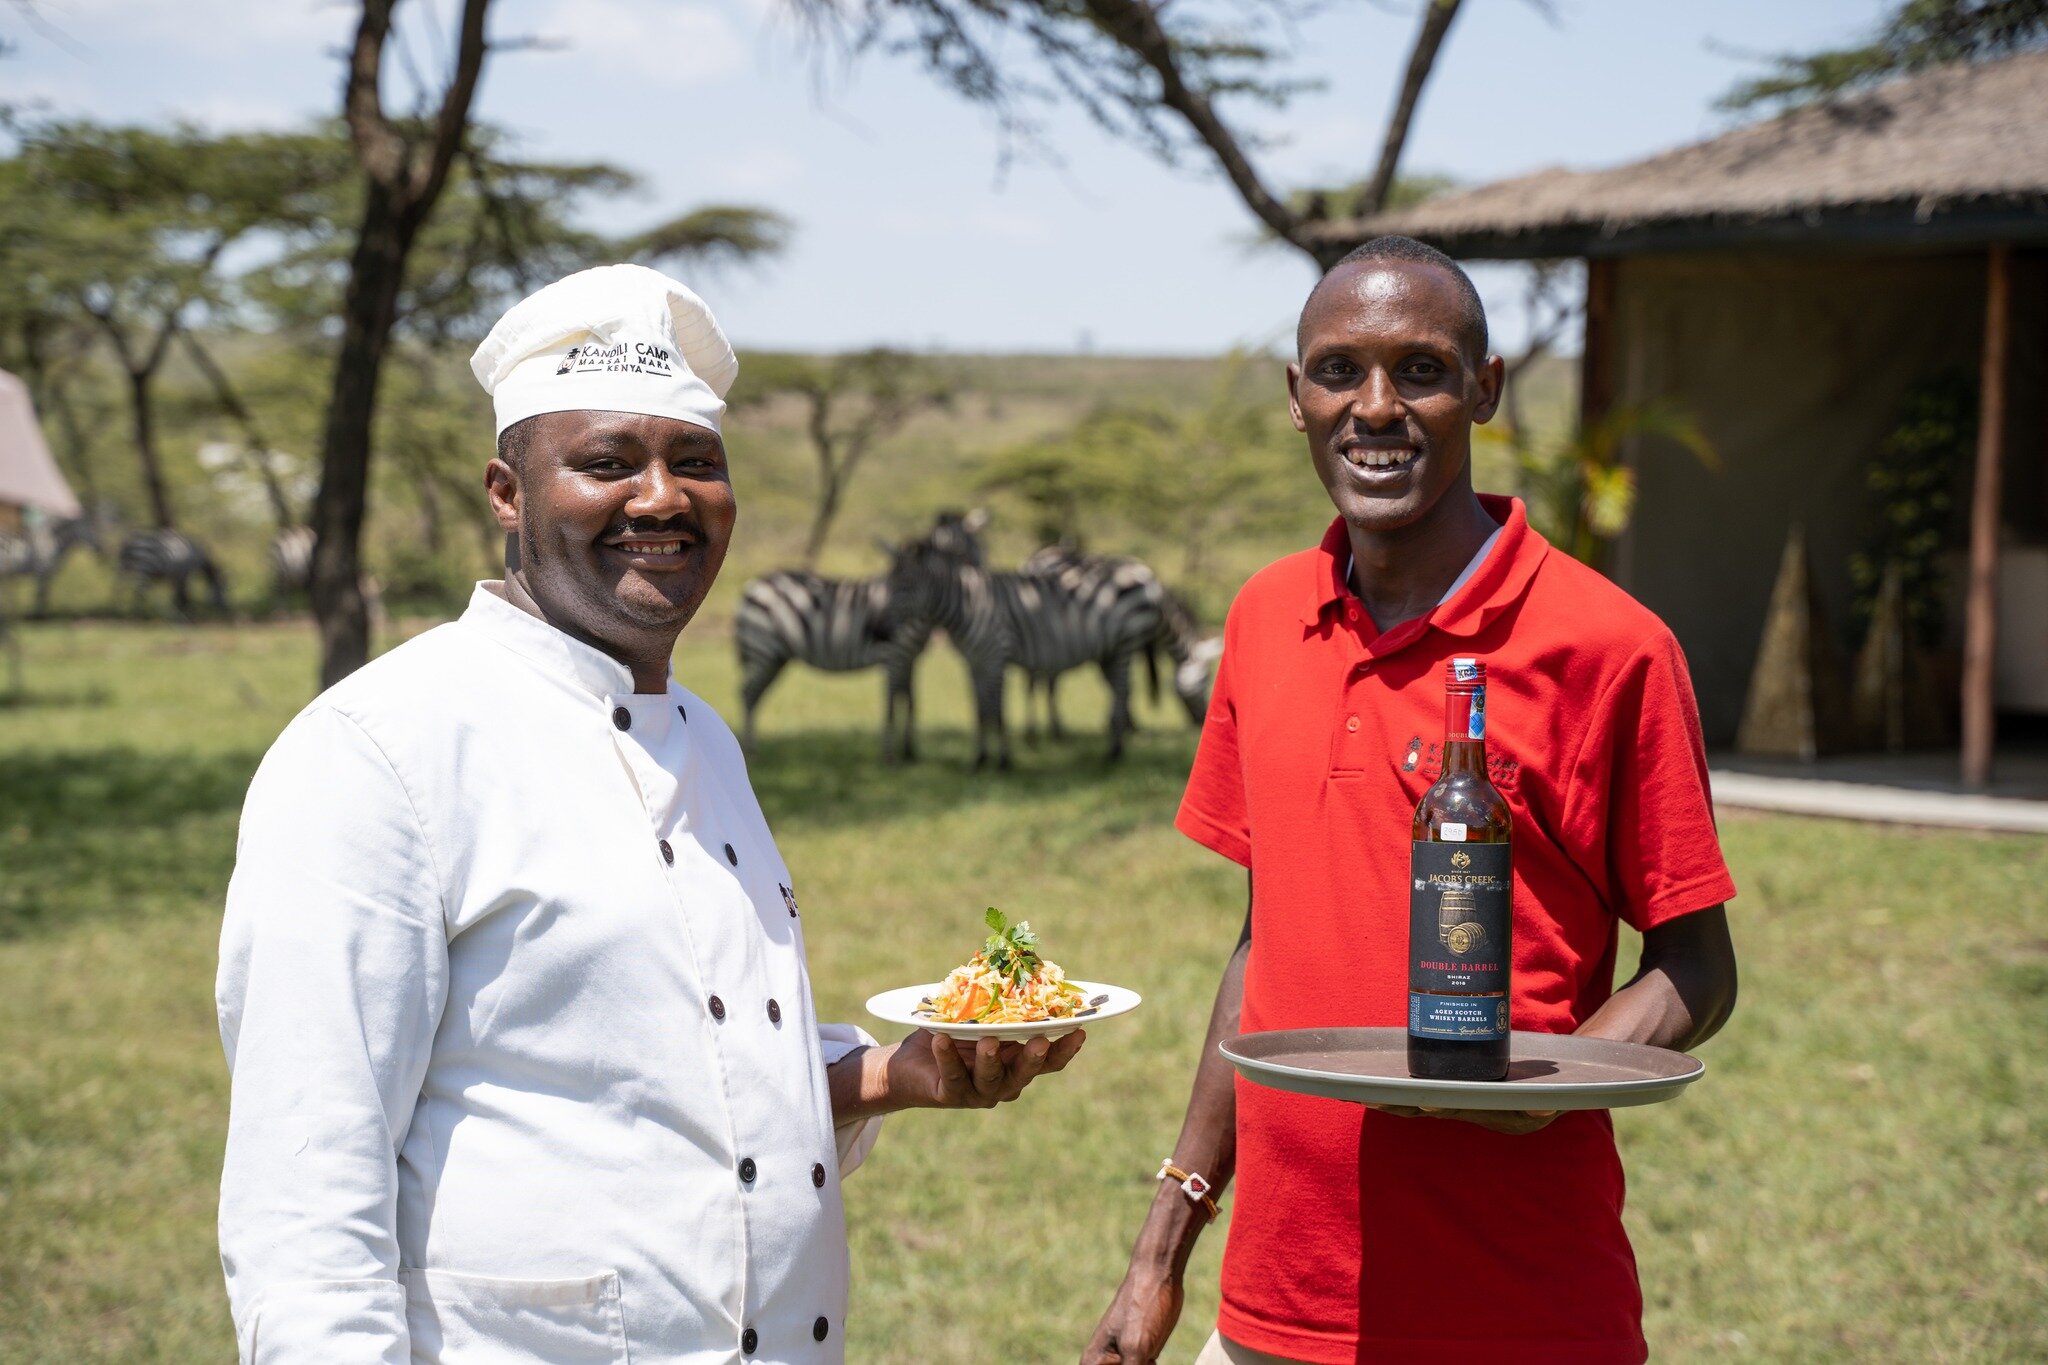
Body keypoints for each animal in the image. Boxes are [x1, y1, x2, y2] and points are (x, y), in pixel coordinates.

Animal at [737, 509, 991, 765]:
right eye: (963, 551)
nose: (879, 631)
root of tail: (755, 583)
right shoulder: (894, 656)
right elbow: (891, 703)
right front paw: (889, 756)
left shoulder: (910, 658)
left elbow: (910, 701)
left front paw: (910, 752)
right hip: (762, 649)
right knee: (747, 694)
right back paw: (751, 752)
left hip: (776, 657)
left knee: (755, 695)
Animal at [888, 532, 1163, 769]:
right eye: (891, 583)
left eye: (906, 584)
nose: (883, 627)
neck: (969, 603)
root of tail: (1144, 575)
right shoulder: (974, 661)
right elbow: (980, 710)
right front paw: (980, 759)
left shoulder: (995, 656)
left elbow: (998, 712)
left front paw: (1003, 761)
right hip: (1111, 650)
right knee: (1118, 691)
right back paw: (1114, 744)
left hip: (1125, 644)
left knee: (1122, 691)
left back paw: (1115, 751)